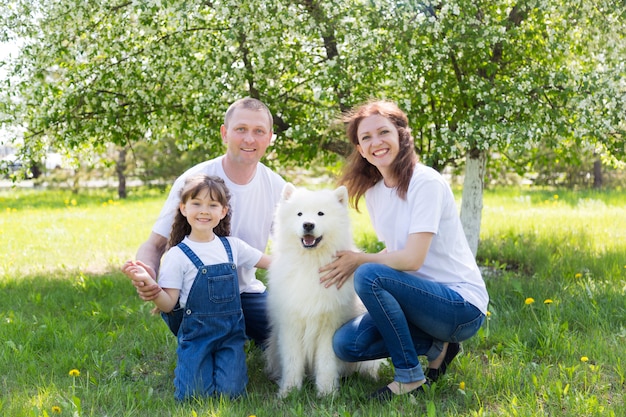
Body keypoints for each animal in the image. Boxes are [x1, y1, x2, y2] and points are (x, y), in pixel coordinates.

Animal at [262, 183, 376, 396]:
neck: (311, 264)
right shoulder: (291, 326)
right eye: (299, 214)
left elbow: (326, 363)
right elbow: (292, 362)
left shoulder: (329, 326)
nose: (308, 224)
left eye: (320, 214)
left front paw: (327, 392)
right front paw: (289, 392)